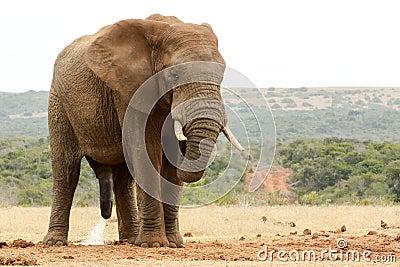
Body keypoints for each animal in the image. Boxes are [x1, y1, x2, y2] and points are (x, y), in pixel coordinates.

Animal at [43, 14, 244, 249]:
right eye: (174, 75)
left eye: (222, 74)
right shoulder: (129, 90)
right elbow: (146, 149)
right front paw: (153, 245)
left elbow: (170, 156)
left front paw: (174, 244)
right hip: (58, 102)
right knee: (66, 170)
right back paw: (55, 242)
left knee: (123, 177)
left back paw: (130, 240)